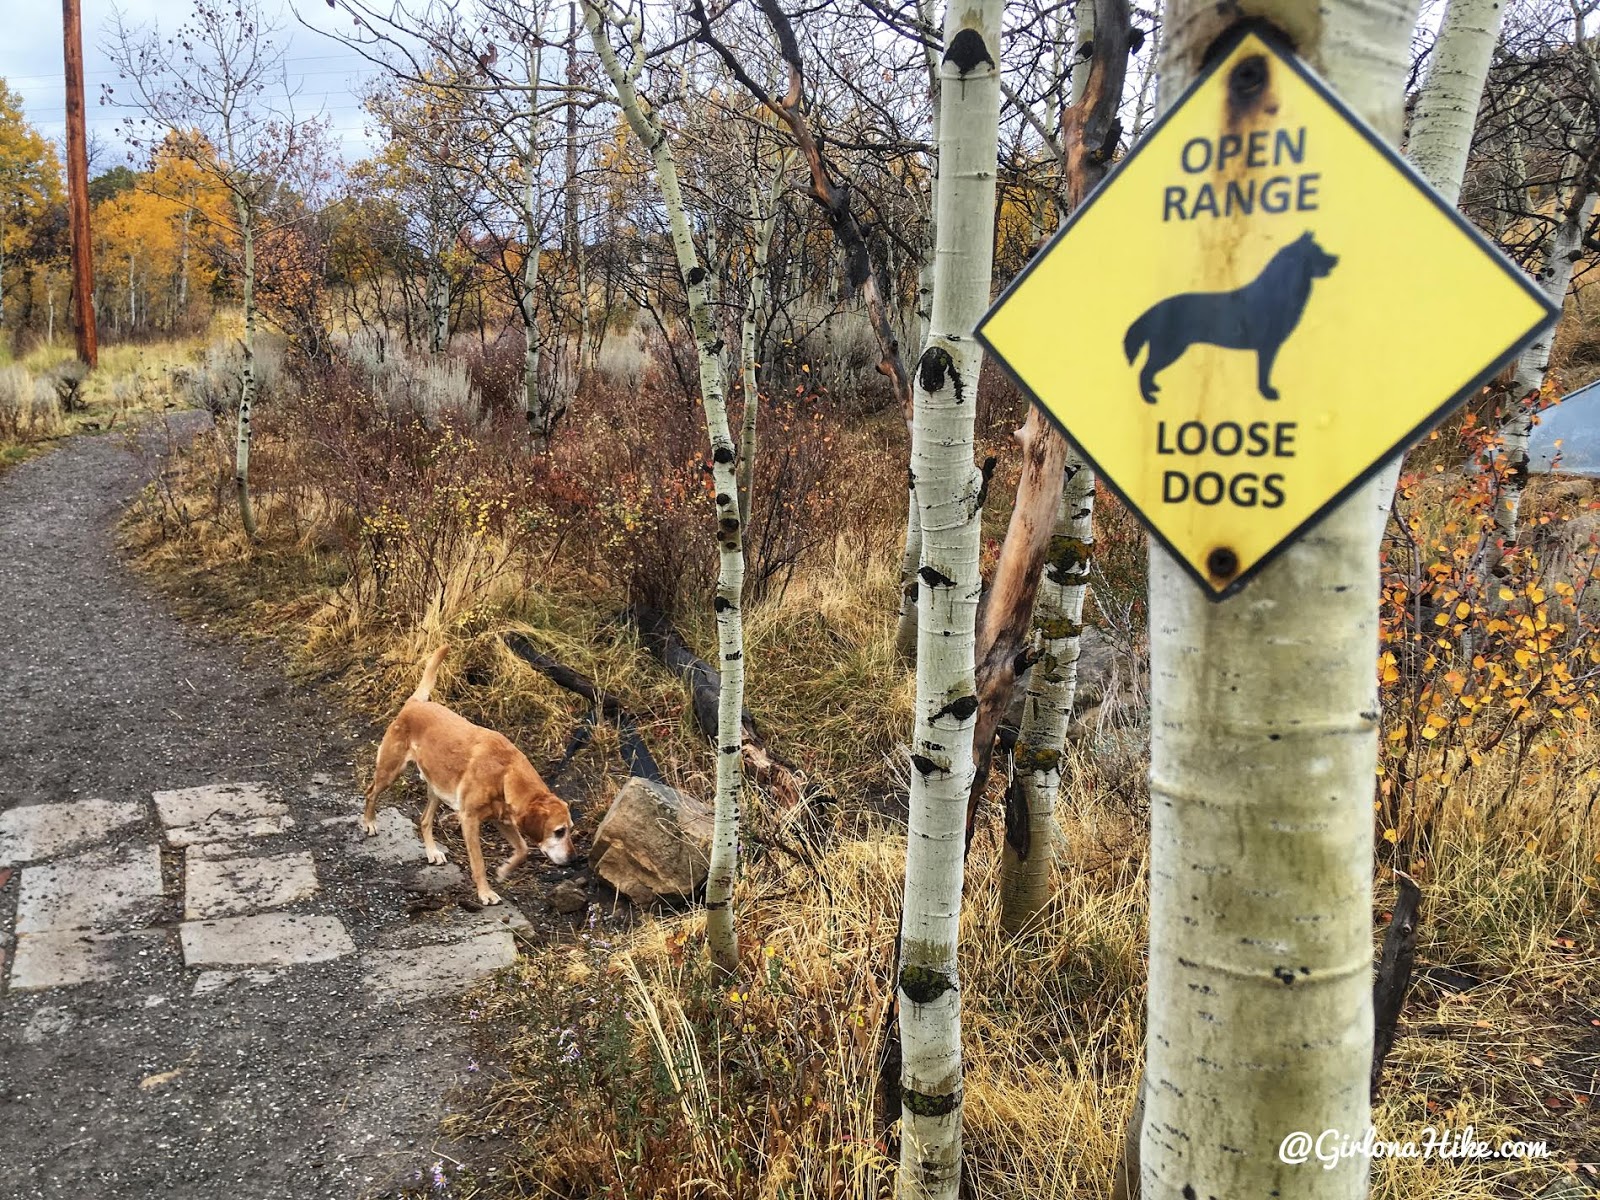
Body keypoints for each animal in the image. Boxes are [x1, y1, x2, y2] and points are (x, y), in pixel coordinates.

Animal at [364, 649, 576, 902]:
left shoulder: (501, 819)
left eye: (570, 829)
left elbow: (523, 849)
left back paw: (433, 851)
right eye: (559, 831)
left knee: (424, 820)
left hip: (437, 789)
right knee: (370, 792)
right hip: (390, 772)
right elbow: (479, 863)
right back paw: (369, 823)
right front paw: (485, 893)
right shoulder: (470, 821)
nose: (573, 860)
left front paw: (504, 870)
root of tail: (414, 704)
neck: (505, 774)